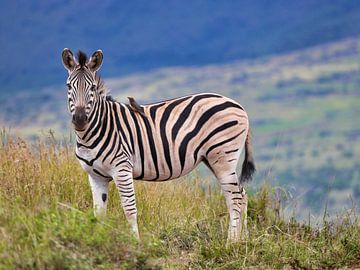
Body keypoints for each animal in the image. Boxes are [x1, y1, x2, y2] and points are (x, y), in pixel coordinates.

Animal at [60, 49, 255, 244]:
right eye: (68, 86)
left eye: (92, 88)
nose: (80, 120)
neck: (95, 130)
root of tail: (238, 105)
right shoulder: (95, 176)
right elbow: (98, 213)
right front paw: (99, 240)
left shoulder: (122, 169)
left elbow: (129, 209)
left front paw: (136, 243)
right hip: (213, 158)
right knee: (242, 194)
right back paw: (243, 239)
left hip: (223, 156)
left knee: (234, 197)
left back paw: (231, 242)